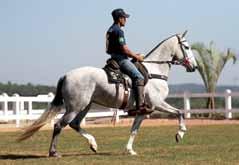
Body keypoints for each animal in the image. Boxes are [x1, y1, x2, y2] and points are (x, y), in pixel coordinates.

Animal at [17, 31, 198, 157]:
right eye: (187, 47)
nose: (194, 66)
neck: (154, 71)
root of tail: (67, 75)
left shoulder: (143, 111)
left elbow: (134, 130)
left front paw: (129, 150)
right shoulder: (158, 103)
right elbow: (180, 112)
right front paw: (180, 134)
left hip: (85, 106)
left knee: (74, 124)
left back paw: (93, 144)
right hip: (75, 107)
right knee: (59, 125)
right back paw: (54, 152)